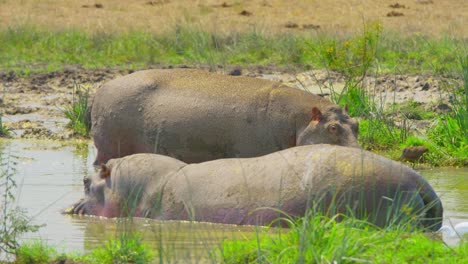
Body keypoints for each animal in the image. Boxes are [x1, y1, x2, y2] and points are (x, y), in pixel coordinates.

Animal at [92, 69, 362, 165]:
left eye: (357, 124)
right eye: (333, 127)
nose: (361, 155)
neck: (299, 120)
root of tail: (104, 88)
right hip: (108, 148)